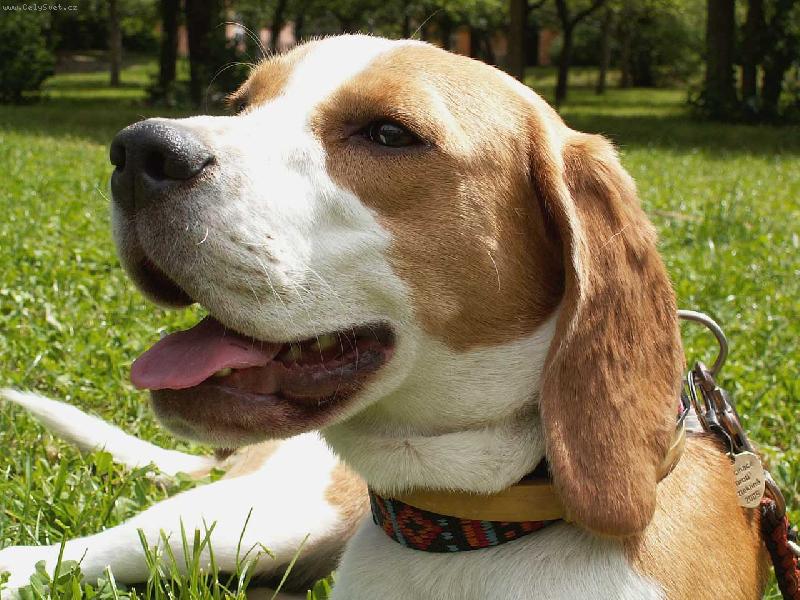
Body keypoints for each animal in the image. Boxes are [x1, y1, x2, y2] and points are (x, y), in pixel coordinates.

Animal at [1, 34, 770, 599]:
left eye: (389, 133)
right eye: (241, 104)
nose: (138, 150)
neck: (471, 530)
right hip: (250, 521)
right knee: (49, 558)